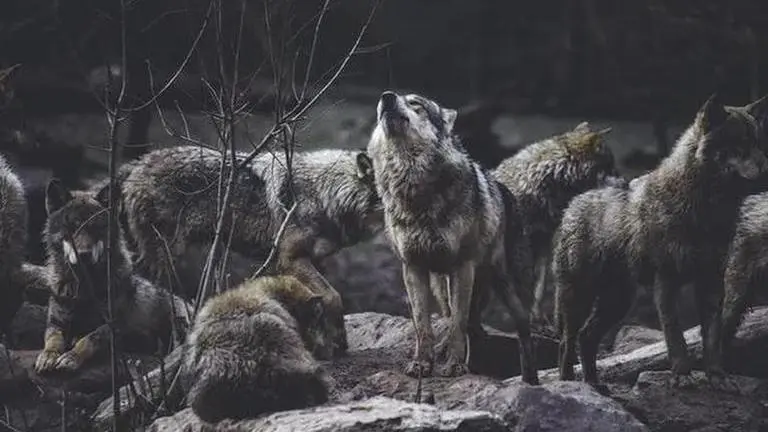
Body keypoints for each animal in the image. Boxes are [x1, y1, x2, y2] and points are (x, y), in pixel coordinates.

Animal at [34, 179, 192, 374]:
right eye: (72, 227)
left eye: (96, 228)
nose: (84, 255)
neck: (85, 288)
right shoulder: (56, 321)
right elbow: (53, 338)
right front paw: (48, 355)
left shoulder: (114, 325)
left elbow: (89, 339)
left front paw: (71, 357)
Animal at [114, 146, 382, 356]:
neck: (326, 194)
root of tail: (134, 164)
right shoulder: (290, 259)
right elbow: (334, 296)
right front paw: (338, 342)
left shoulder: (314, 261)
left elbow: (320, 300)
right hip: (165, 258)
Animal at [367, 90, 538, 383]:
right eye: (386, 100)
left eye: (416, 103)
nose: (386, 97)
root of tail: (505, 190)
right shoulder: (412, 267)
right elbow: (423, 325)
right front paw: (422, 364)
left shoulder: (462, 266)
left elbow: (459, 323)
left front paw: (456, 366)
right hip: (443, 287)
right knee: (467, 325)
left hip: (506, 288)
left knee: (519, 329)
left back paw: (530, 380)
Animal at [492, 122, 623, 326]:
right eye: (610, 167)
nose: (625, 182)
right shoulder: (524, 244)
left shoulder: (544, 242)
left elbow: (539, 287)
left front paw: (538, 318)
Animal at [553, 94, 768, 389]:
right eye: (740, 145)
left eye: (758, 143)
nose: (766, 168)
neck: (704, 211)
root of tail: (574, 203)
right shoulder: (666, 282)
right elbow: (675, 336)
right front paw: (681, 376)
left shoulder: (711, 283)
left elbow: (713, 338)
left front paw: (717, 376)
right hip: (579, 297)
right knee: (567, 342)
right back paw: (569, 384)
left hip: (617, 303)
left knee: (587, 338)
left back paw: (594, 385)